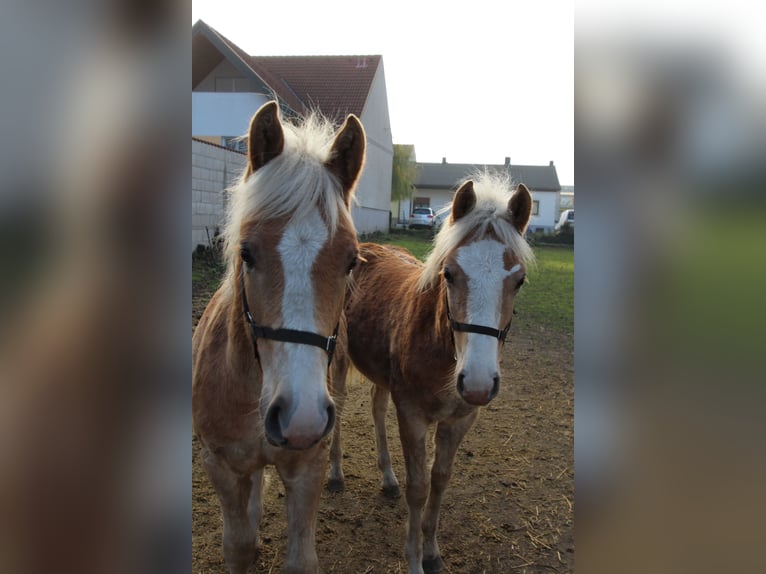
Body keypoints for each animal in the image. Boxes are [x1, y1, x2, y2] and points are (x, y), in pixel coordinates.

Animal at [195, 103, 368, 574]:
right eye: (246, 253)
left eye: (351, 260)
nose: (299, 417)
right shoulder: (222, 467)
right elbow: (239, 544)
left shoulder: (305, 468)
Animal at [328, 176, 536, 574]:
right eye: (449, 274)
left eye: (519, 281)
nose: (478, 383)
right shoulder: (412, 415)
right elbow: (419, 487)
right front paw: (413, 560)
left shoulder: (460, 419)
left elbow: (439, 480)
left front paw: (432, 551)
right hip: (340, 362)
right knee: (340, 407)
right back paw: (334, 474)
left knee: (377, 408)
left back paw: (387, 478)